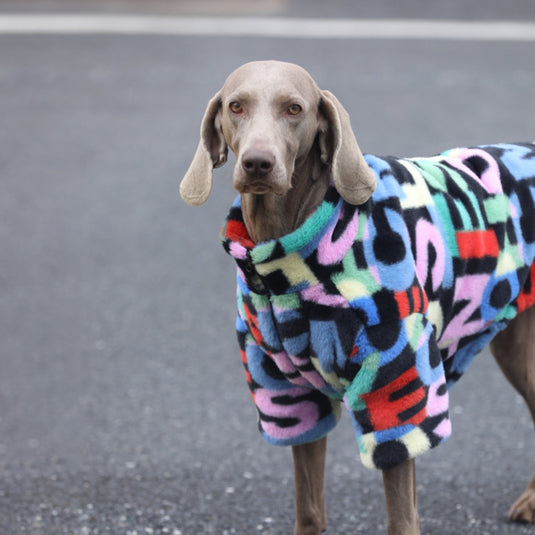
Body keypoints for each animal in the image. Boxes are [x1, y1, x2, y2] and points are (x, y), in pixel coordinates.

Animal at [181, 60, 535, 532]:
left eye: (294, 108)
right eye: (236, 106)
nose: (258, 163)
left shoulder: (398, 383)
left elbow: (401, 512)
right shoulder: (289, 393)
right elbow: (310, 507)